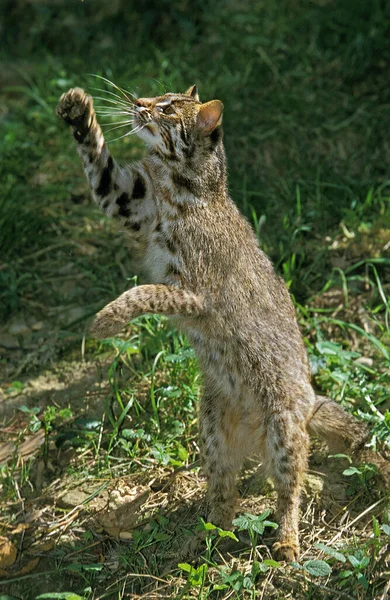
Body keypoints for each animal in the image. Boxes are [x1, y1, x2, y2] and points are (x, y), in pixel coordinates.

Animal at [56, 82, 388, 560]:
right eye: (157, 97)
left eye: (167, 108)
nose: (138, 103)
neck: (184, 180)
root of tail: (309, 401)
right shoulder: (129, 201)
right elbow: (98, 164)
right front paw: (78, 109)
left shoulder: (195, 293)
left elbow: (145, 292)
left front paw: (104, 321)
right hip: (211, 425)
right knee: (225, 489)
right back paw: (207, 533)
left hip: (283, 428)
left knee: (291, 487)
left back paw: (287, 540)